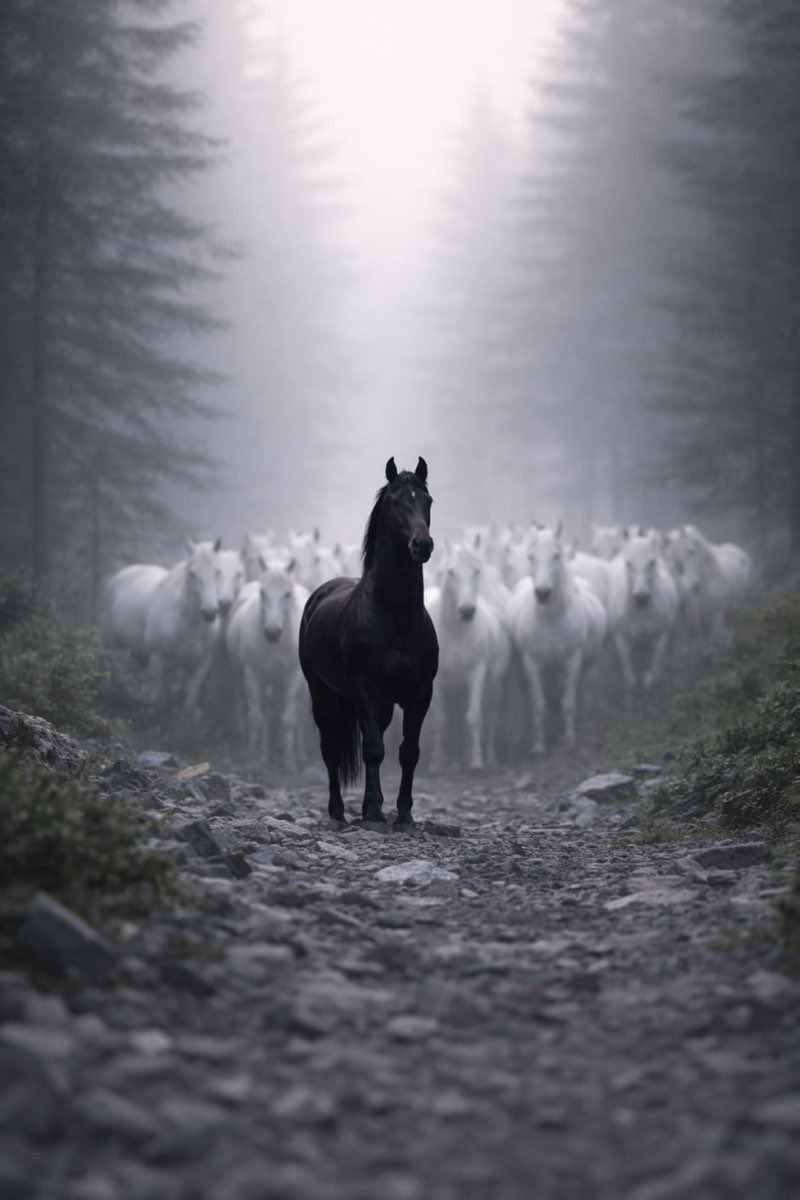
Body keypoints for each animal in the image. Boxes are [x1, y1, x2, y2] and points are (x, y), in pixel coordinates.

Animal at [225, 558, 309, 766]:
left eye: (287, 594)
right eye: (263, 593)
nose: (272, 632)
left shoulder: (294, 677)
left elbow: (289, 719)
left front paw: (289, 761)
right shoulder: (253, 674)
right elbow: (257, 717)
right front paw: (255, 757)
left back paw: (298, 752)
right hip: (243, 678)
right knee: (245, 705)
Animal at [298, 456, 438, 826]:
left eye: (428, 500)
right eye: (395, 500)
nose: (422, 545)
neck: (397, 619)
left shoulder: (420, 694)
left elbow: (408, 752)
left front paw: (404, 814)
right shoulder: (365, 689)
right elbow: (374, 750)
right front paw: (375, 812)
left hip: (383, 704)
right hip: (323, 693)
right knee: (332, 750)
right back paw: (337, 812)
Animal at [425, 541, 511, 771]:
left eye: (476, 571)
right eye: (450, 572)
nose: (467, 611)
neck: (456, 632)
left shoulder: (476, 673)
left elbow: (474, 718)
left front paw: (476, 762)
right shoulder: (436, 680)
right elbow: (439, 720)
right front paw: (436, 764)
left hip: (494, 682)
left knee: (490, 715)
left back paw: (488, 758)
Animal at [507, 522, 607, 755]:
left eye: (556, 555)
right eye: (531, 556)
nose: (543, 593)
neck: (551, 621)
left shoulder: (572, 661)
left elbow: (568, 702)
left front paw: (569, 739)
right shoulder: (532, 664)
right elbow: (538, 704)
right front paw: (538, 746)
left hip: (589, 663)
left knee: (585, 692)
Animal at [607, 528, 679, 701]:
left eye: (652, 562)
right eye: (629, 563)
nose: (641, 596)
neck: (641, 613)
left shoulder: (660, 638)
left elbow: (653, 676)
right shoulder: (622, 640)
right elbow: (630, 680)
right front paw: (630, 704)